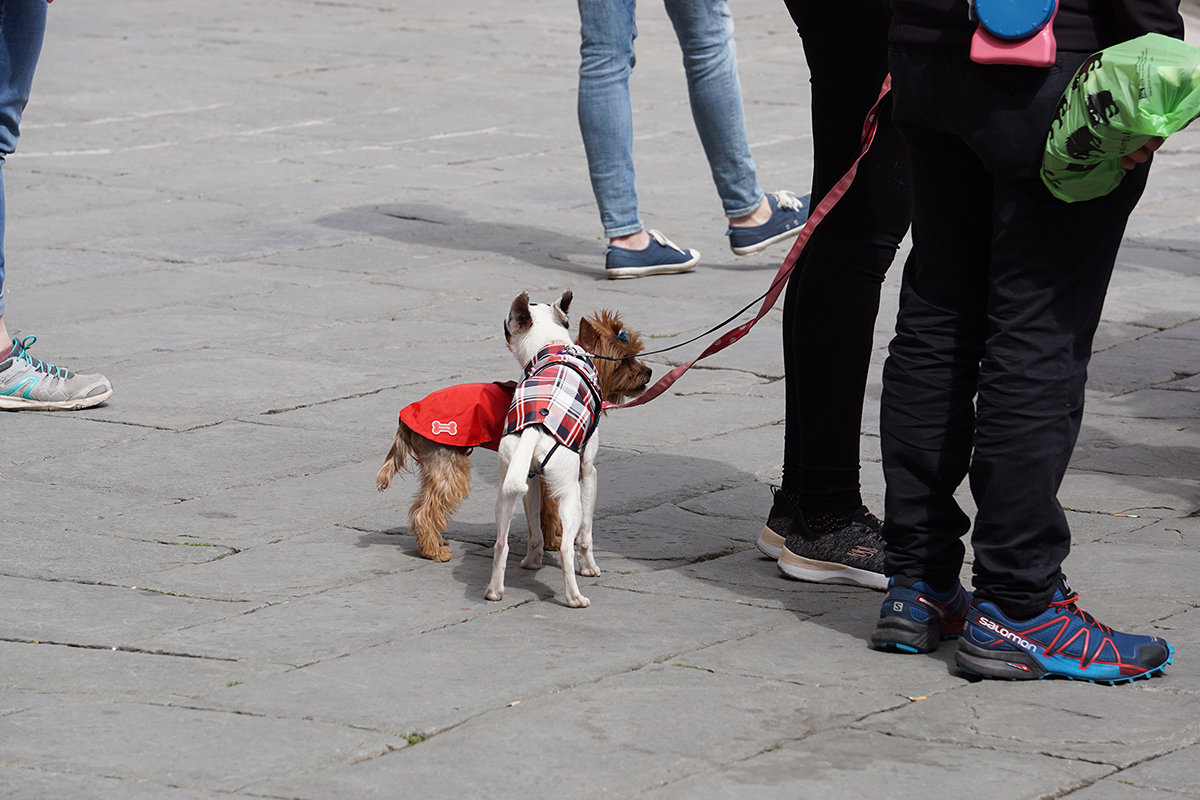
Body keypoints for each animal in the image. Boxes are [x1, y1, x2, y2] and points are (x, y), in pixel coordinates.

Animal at [376, 309, 652, 563]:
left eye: (637, 353)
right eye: (625, 360)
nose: (648, 371)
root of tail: (408, 415)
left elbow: (547, 508)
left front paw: (550, 539)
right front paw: (556, 541)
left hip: (436, 464)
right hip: (447, 463)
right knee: (425, 510)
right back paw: (433, 551)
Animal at [484, 291, 600, 609]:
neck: (551, 344)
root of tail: (536, 426)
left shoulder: (532, 482)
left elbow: (535, 530)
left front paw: (532, 562)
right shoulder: (588, 472)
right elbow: (586, 536)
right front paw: (590, 568)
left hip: (507, 490)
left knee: (501, 543)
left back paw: (495, 591)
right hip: (570, 495)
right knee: (567, 547)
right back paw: (575, 597)